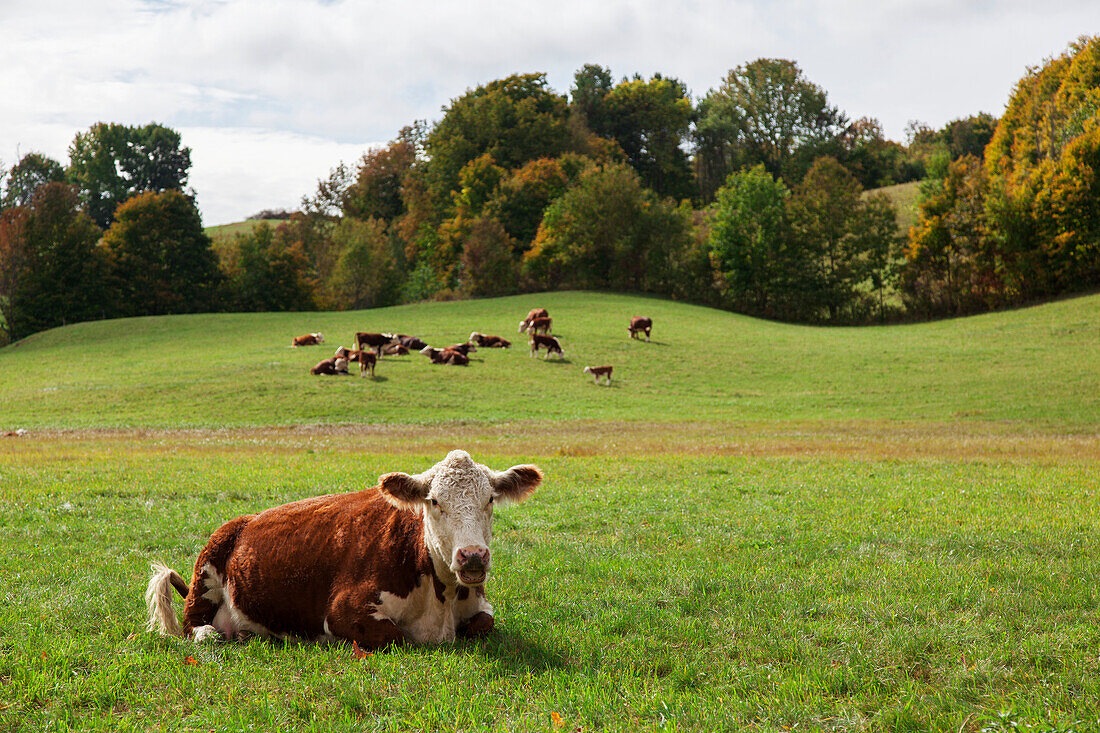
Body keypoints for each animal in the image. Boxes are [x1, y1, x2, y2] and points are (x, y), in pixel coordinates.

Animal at [145, 444, 541, 647]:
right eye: (434, 502)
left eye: (489, 499)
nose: (473, 556)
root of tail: (241, 521)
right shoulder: (343, 608)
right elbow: (395, 636)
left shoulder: (481, 605)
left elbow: (483, 623)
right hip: (206, 571)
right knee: (195, 626)